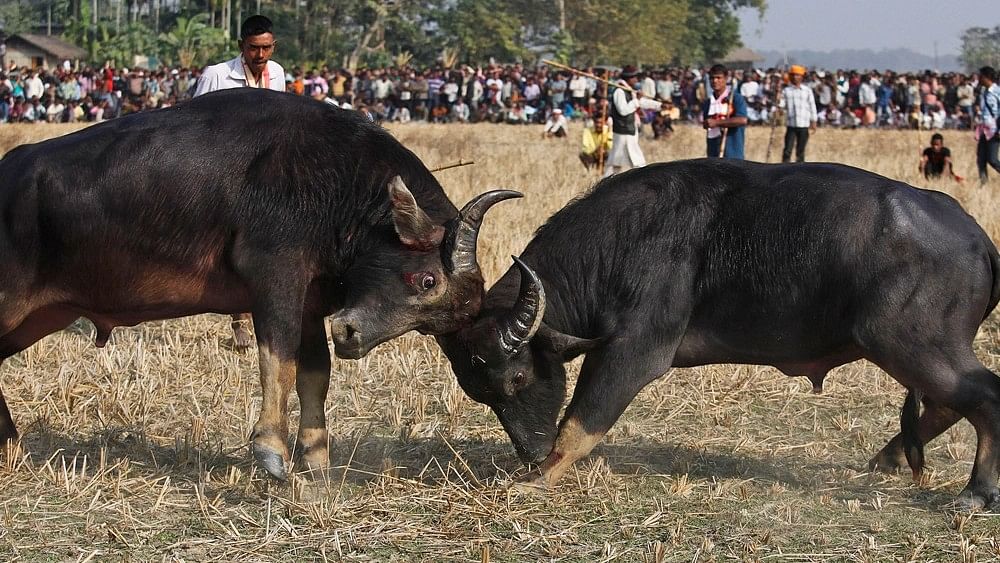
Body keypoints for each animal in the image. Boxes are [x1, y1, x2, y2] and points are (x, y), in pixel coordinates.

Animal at [0, 89, 516, 480]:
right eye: (426, 279)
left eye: (433, 323)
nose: (352, 335)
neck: (334, 182)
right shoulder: (276, 281)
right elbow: (279, 363)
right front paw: (272, 451)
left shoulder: (309, 304)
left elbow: (314, 375)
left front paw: (316, 459)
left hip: (41, 315)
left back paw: (12, 450)